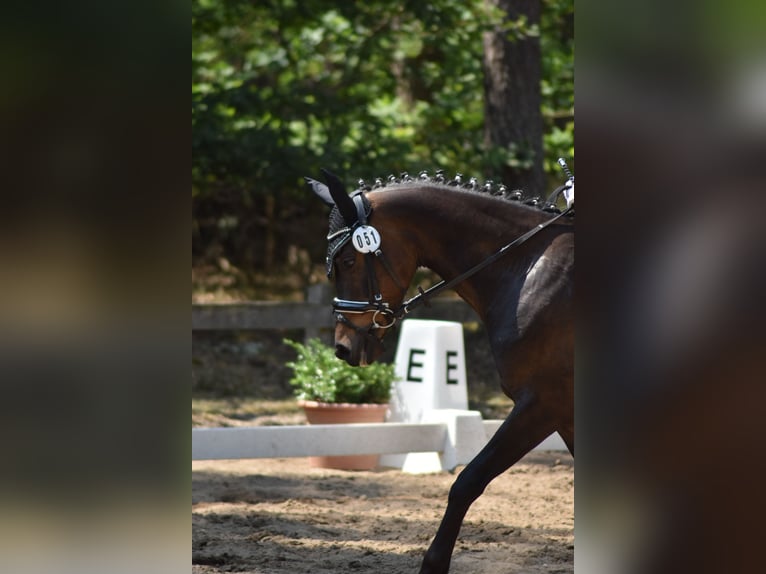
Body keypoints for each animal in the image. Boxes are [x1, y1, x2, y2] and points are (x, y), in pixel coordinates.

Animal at [305, 167, 574, 574]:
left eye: (350, 261)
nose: (343, 346)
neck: (527, 268)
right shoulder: (562, 411)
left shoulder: (543, 403)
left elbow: (467, 481)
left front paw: (433, 563)